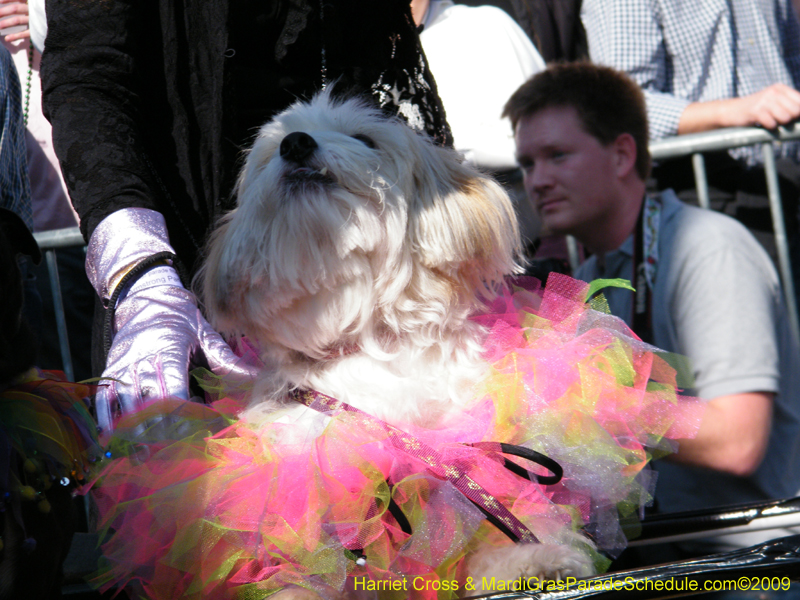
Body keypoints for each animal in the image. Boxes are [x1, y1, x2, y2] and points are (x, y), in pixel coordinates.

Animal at [199, 91, 592, 592]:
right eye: (273, 148)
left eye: (364, 138)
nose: (296, 143)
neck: (369, 336)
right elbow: (294, 566)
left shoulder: (464, 457)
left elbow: (480, 519)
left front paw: (529, 560)